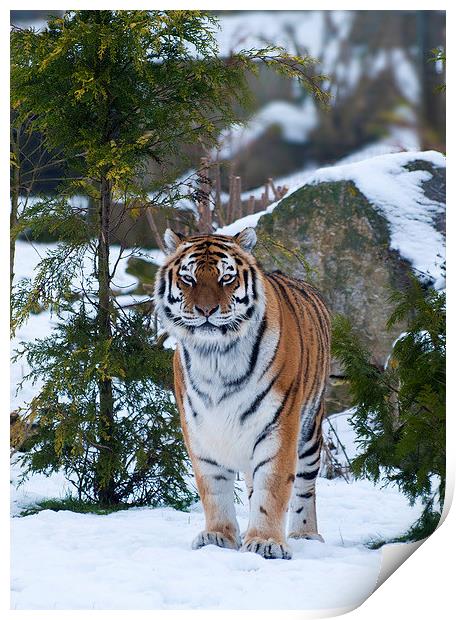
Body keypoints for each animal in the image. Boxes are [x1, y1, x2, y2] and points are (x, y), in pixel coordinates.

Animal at [154, 228, 332, 560]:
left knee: (304, 486)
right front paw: (217, 537)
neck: (216, 357)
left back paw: (305, 535)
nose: (206, 311)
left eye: (226, 278)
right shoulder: (200, 429)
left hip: (310, 431)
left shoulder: (279, 426)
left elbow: (272, 488)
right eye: (188, 278)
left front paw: (265, 542)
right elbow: (214, 490)